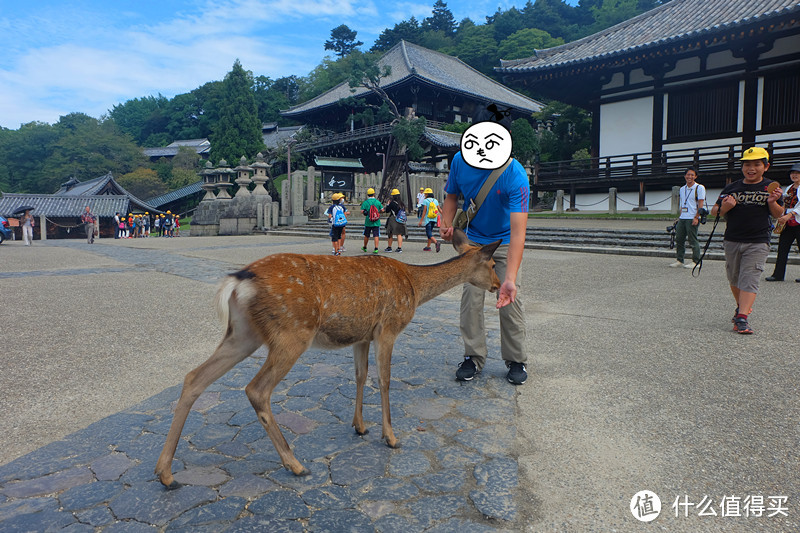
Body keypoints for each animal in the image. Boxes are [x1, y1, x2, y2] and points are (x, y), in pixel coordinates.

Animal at [155, 227, 500, 488]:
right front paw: (391, 437)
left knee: (194, 378)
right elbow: (384, 379)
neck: (414, 288)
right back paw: (295, 464)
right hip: (292, 333)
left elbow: (360, 375)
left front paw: (360, 426)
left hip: (243, 333)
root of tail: (239, 279)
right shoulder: (387, 328)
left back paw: (166, 474)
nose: (499, 285)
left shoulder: (362, 336)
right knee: (256, 389)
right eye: (494, 264)